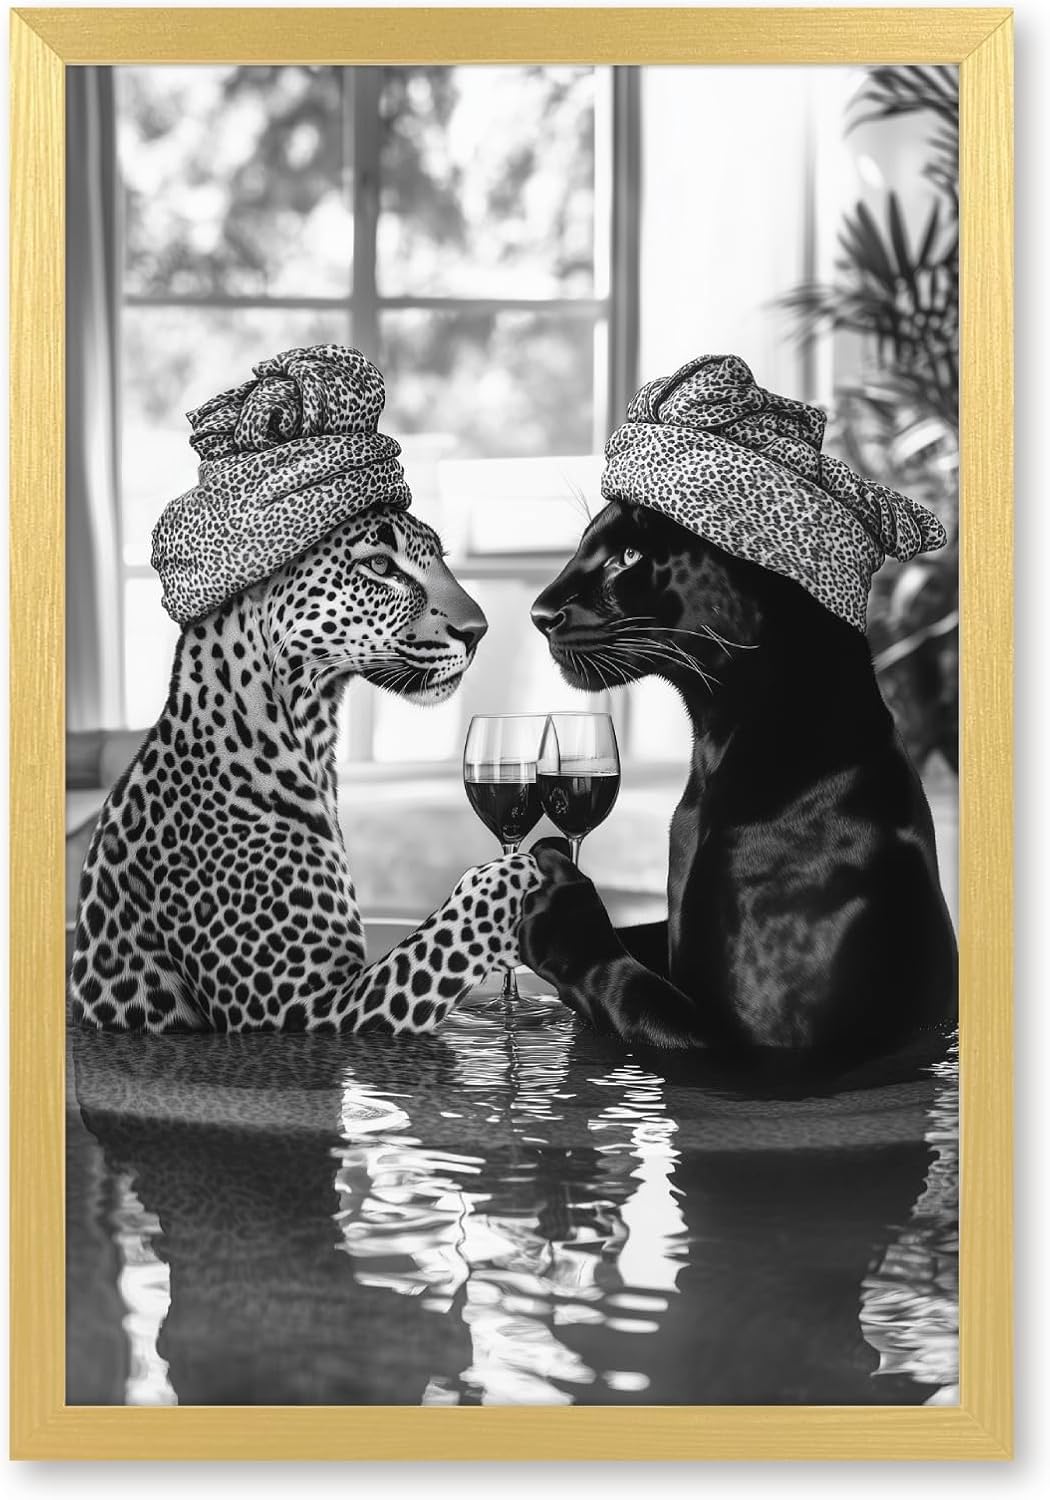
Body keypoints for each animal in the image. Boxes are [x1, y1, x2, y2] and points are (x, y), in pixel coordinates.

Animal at [70, 504, 540, 1033]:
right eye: (380, 565)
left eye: (440, 557)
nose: (477, 631)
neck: (307, 738)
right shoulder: (298, 1009)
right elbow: (440, 937)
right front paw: (508, 876)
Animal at [519, 498, 958, 1077]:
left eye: (630, 555)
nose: (539, 614)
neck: (715, 747)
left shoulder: (765, 1050)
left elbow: (623, 979)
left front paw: (557, 909)